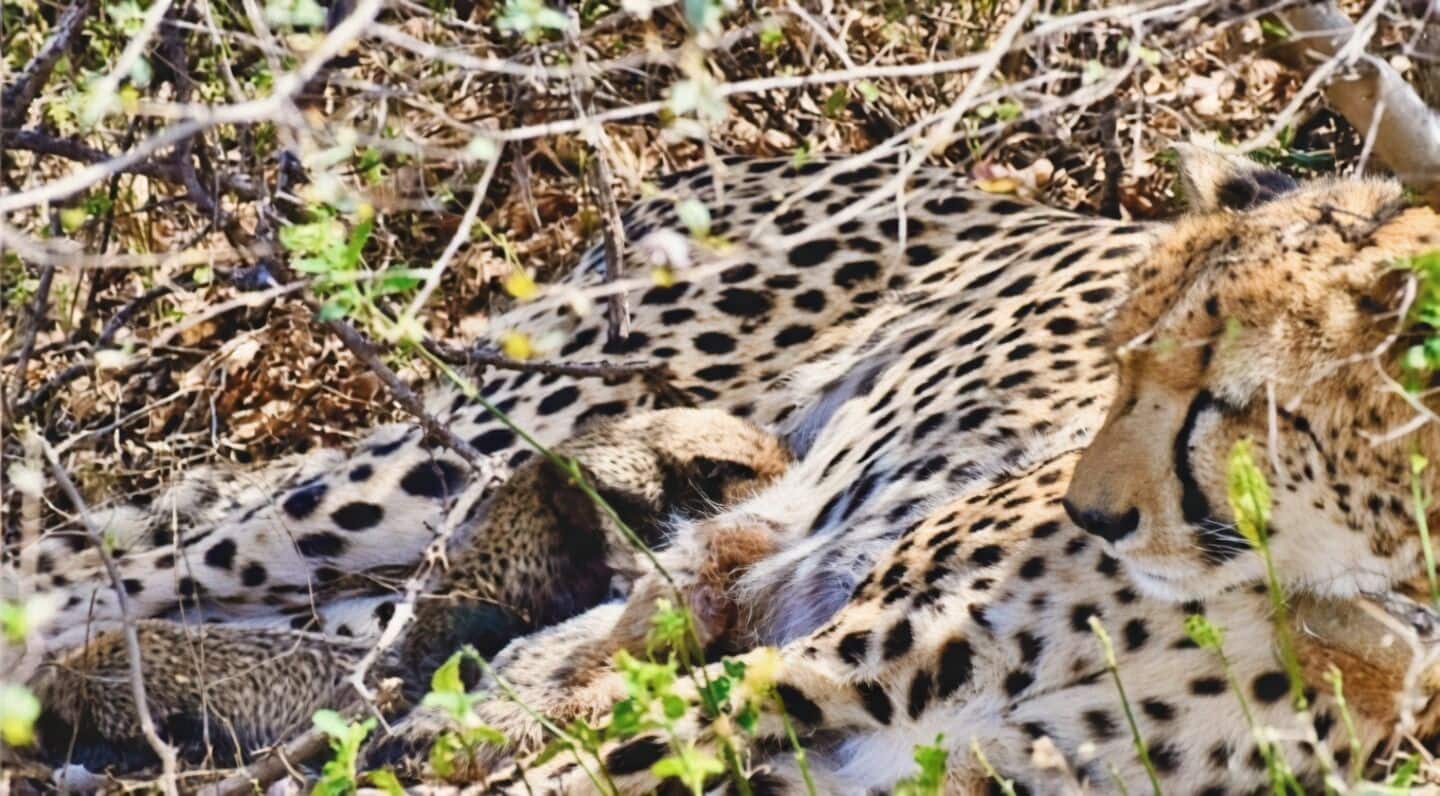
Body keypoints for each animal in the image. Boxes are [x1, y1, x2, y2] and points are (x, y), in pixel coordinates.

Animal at [12, 147, 1440, 792]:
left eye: (1214, 392)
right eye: (1116, 363)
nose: (1096, 510)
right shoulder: (827, 667)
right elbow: (580, 761)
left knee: (358, 641)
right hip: (476, 434)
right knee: (105, 558)